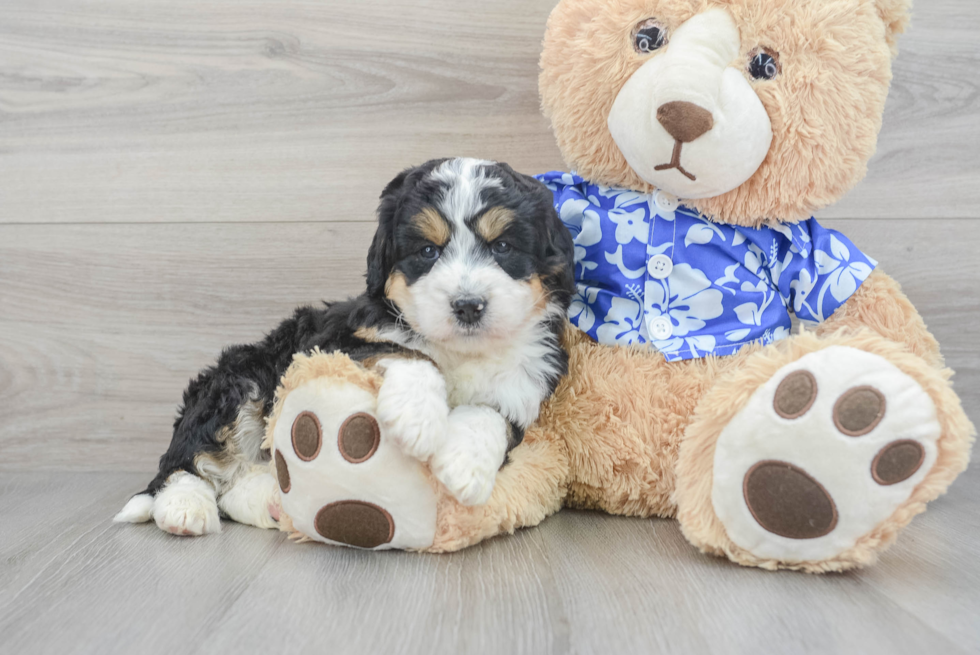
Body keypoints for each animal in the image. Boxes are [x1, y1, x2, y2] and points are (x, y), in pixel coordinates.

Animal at [115, 159, 576, 540]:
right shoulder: (336, 342)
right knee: (184, 463)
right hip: (238, 381)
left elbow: (491, 411)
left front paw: (464, 465)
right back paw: (184, 509)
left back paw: (273, 504)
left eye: (503, 247)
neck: (462, 349)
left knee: (236, 484)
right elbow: (414, 353)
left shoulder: (527, 376)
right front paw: (418, 418)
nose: (467, 305)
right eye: (428, 251)